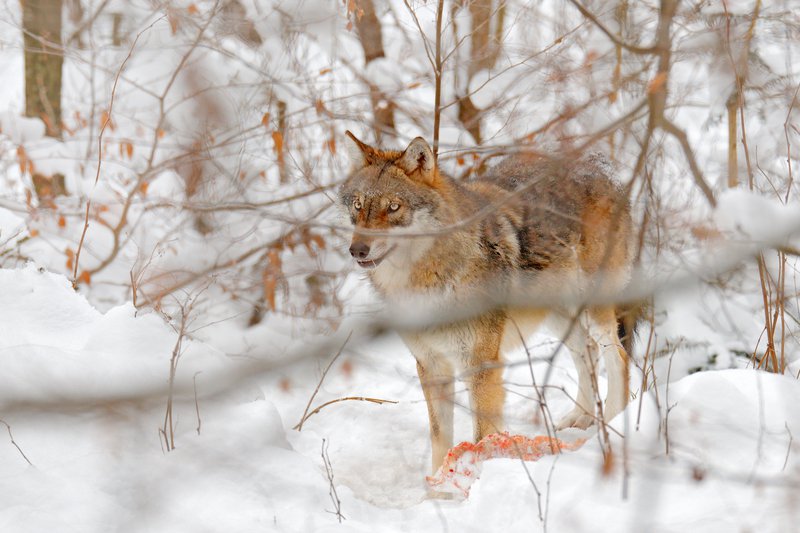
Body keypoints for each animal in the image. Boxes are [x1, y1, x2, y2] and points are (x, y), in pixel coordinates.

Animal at [338, 132, 632, 474]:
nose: (357, 250)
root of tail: (599, 162)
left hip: (593, 311)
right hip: (560, 319)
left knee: (619, 357)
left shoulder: (481, 365)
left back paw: (611, 425)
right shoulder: (431, 364)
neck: (424, 281)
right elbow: (440, 437)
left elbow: (482, 437)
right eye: (358, 205)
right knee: (587, 357)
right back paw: (579, 418)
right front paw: (436, 485)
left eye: (394, 207)